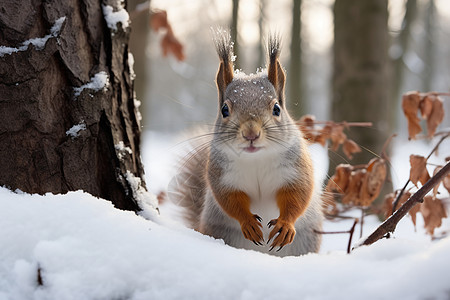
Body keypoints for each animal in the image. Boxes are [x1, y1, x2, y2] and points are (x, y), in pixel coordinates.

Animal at [172, 29, 324, 255]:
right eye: (224, 110)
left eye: (277, 108)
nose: (251, 134)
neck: (256, 159)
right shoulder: (222, 175)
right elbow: (229, 199)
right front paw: (249, 224)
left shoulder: (296, 169)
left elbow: (298, 194)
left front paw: (285, 225)